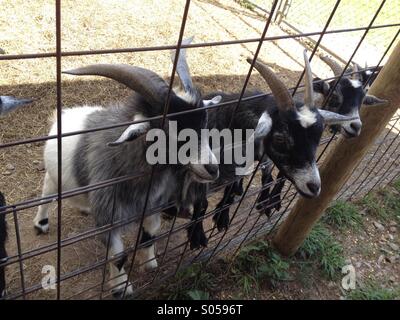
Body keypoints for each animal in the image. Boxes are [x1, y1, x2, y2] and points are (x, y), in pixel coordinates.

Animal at [33, 64, 222, 298]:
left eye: (204, 122)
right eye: (171, 129)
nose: (212, 169)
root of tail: (65, 115)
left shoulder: (151, 206)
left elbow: (150, 235)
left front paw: (149, 262)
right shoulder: (108, 217)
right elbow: (118, 257)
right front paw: (121, 288)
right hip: (54, 176)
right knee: (47, 191)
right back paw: (41, 223)